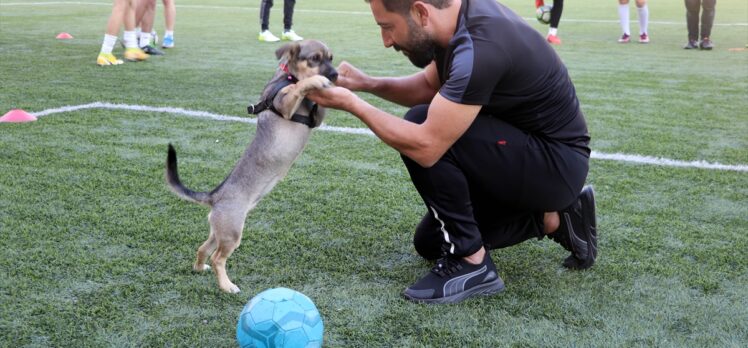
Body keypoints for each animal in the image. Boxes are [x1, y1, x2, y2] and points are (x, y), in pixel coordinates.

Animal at [168, 39, 338, 292]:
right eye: (315, 59)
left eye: (331, 58)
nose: (336, 74)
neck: (288, 76)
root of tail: (215, 196)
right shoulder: (285, 105)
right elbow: (299, 87)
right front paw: (315, 81)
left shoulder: (316, 119)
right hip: (232, 232)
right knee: (218, 258)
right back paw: (227, 286)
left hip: (220, 232)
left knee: (203, 249)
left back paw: (199, 269)